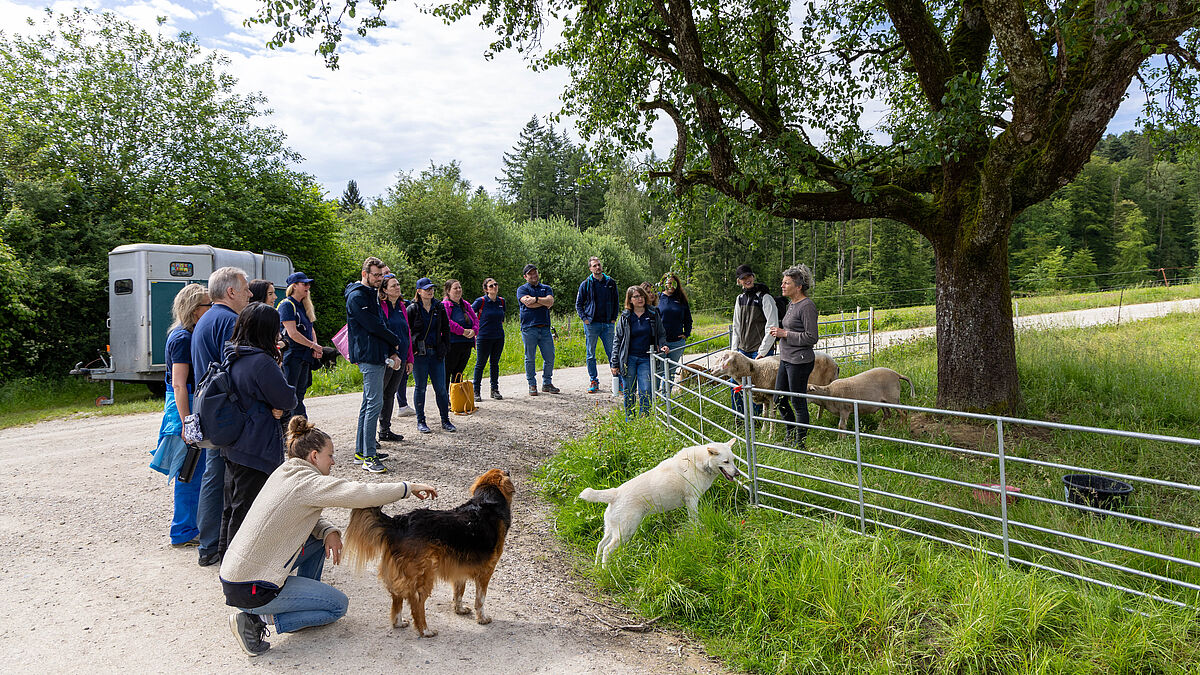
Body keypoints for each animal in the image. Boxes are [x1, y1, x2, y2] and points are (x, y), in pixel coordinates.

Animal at [348, 468, 516, 634]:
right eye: (505, 473)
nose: (509, 470)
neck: (487, 499)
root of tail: (399, 522)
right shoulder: (486, 571)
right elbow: (480, 600)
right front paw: (482, 618)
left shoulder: (459, 566)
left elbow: (459, 592)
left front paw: (459, 609)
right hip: (425, 574)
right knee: (416, 602)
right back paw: (425, 630)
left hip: (401, 573)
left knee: (397, 597)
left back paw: (399, 623)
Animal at [580, 437, 739, 562]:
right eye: (725, 462)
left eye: (733, 461)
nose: (737, 473)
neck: (698, 463)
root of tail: (615, 493)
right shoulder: (692, 500)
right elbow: (695, 520)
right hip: (625, 532)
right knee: (607, 550)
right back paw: (608, 571)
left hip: (611, 529)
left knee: (600, 545)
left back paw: (597, 569)